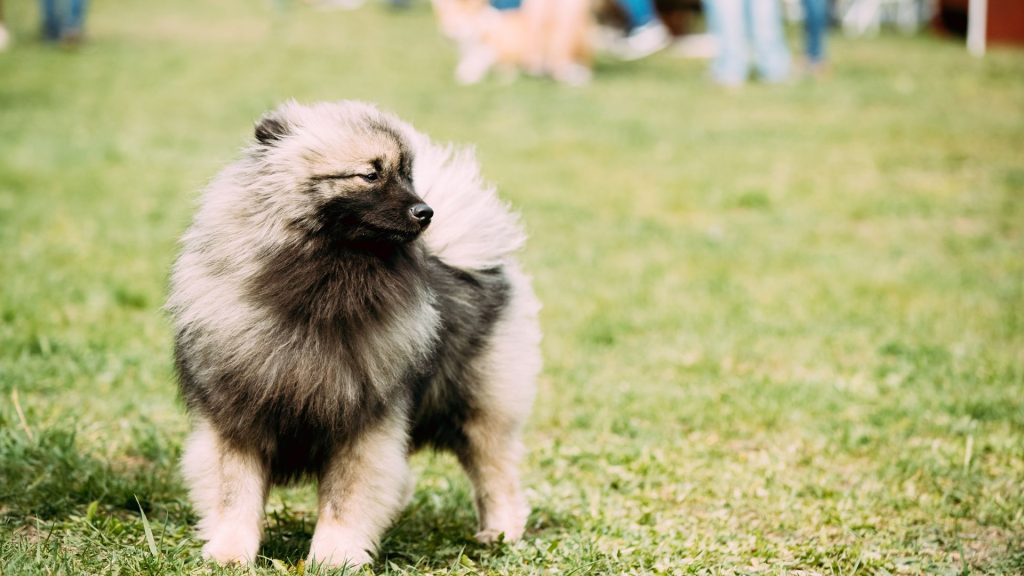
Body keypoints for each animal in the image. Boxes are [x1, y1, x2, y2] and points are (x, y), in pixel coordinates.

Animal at [165, 99, 544, 565]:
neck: (321, 291)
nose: (426, 212)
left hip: (481, 410)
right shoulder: (236, 417)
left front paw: (335, 557)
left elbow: (345, 499)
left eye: (408, 175)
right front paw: (230, 554)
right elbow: (236, 496)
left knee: (495, 473)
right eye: (370, 174)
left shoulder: (362, 424)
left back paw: (500, 533)